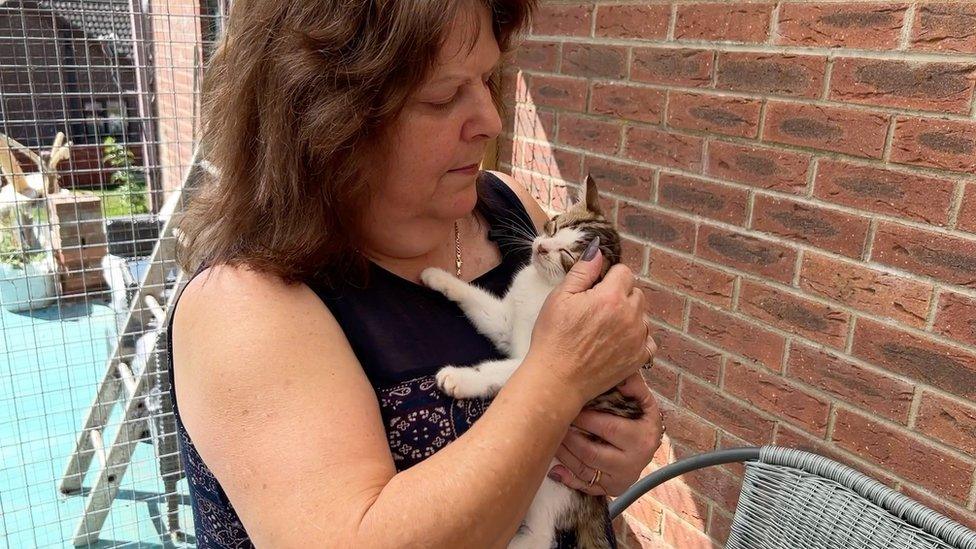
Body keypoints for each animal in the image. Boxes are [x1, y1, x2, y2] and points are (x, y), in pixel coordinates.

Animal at [420, 174, 640, 548]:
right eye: (554, 226)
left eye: (568, 255)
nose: (541, 248)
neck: (541, 288)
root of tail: (591, 502)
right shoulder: (506, 324)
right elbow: (481, 304)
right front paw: (440, 277)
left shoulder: (537, 356)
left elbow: (504, 370)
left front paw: (461, 379)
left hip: (550, 482)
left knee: (541, 536)